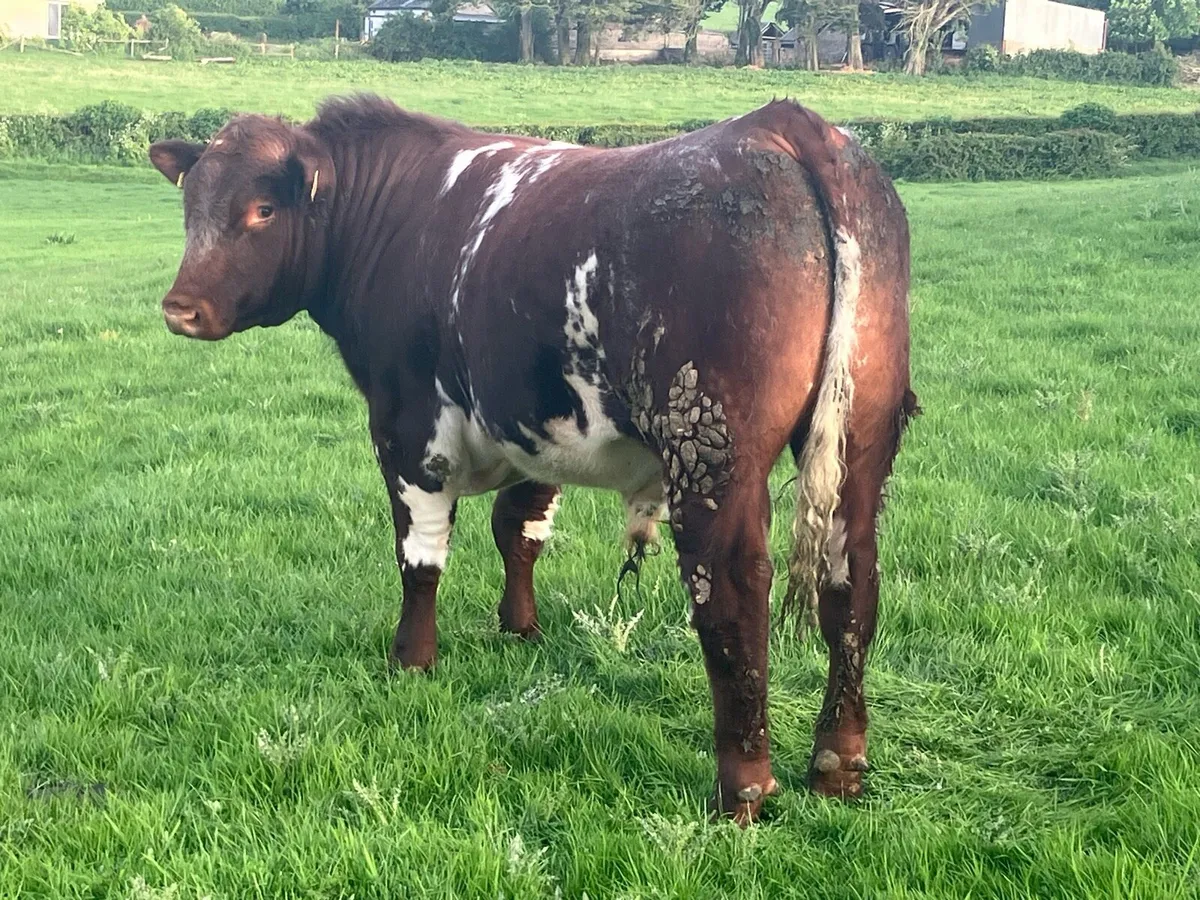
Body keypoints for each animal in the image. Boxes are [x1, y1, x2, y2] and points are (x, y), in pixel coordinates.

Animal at [148, 94, 917, 822]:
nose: (180, 308)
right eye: (191, 205)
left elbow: (420, 555)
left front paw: (411, 660)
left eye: (262, 209)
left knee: (732, 590)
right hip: (862, 439)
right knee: (853, 583)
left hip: (712, 449)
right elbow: (518, 530)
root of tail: (787, 126)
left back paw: (744, 789)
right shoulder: (536, 428)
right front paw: (520, 630)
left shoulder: (407, 426)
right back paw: (838, 763)